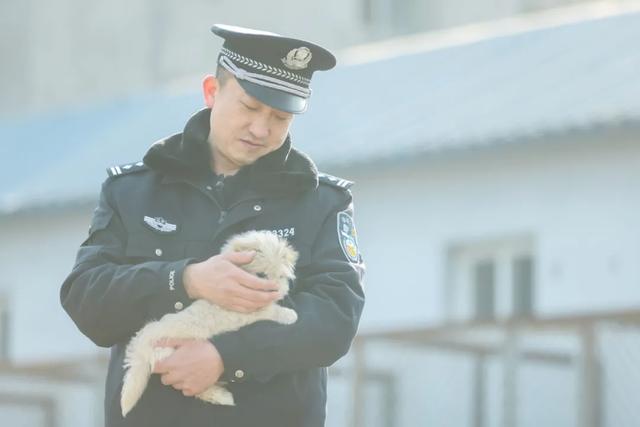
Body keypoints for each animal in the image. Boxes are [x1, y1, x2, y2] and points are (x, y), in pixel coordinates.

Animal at [120, 231, 300, 418]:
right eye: (261, 276)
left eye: (281, 276)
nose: (277, 292)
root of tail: (140, 347)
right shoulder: (247, 310)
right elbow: (270, 311)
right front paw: (289, 315)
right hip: (170, 356)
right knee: (199, 391)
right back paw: (222, 397)